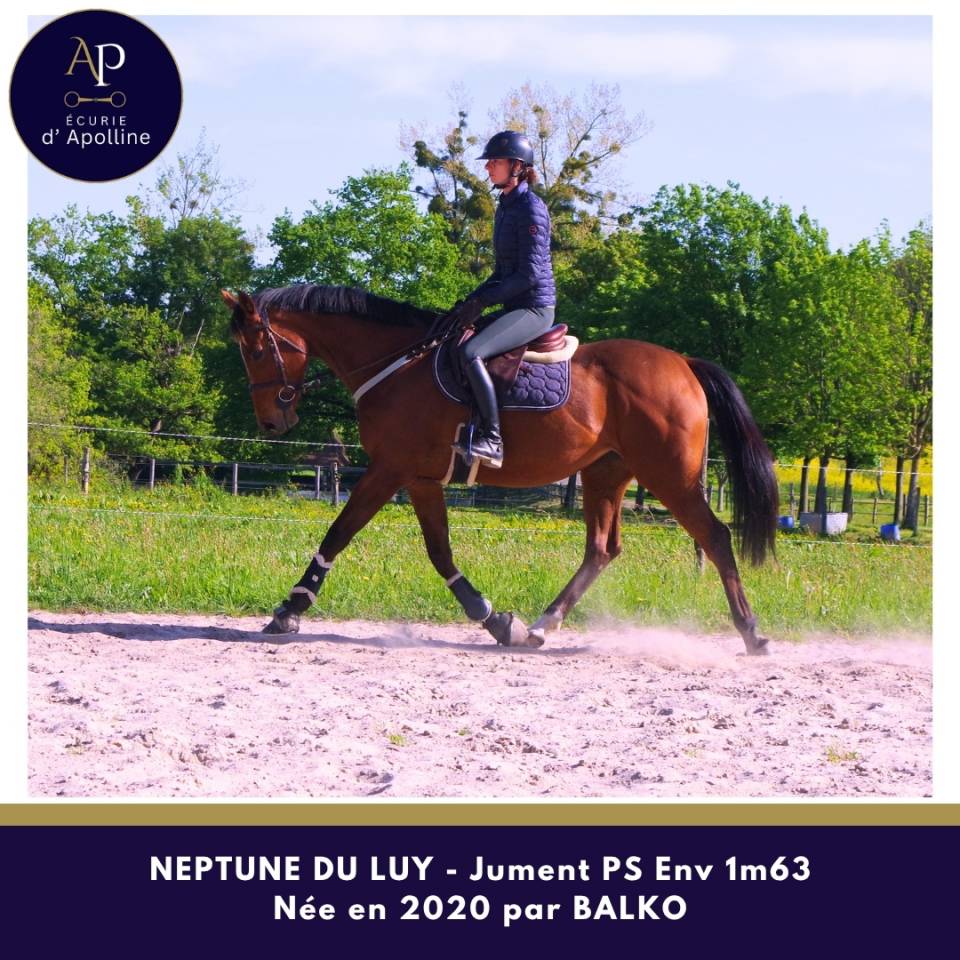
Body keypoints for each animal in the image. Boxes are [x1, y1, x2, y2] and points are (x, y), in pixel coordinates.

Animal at [221, 284, 779, 654]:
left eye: (256, 349)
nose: (271, 421)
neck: (397, 363)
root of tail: (683, 363)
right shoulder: (420, 479)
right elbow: (440, 553)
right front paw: (495, 621)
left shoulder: (390, 469)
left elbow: (340, 533)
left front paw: (289, 611)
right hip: (605, 474)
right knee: (602, 549)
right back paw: (541, 626)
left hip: (670, 476)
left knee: (715, 536)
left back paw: (752, 632)